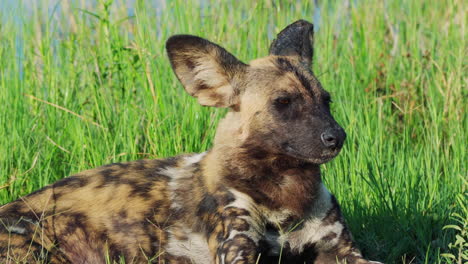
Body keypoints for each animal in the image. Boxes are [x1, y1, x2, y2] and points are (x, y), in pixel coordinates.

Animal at [0, 19, 384, 262]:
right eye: (283, 103)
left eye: (326, 101)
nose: (337, 137)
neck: (284, 194)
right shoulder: (237, 252)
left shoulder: (343, 251)